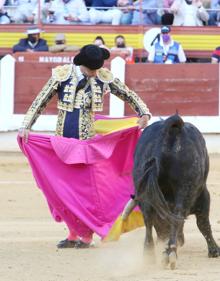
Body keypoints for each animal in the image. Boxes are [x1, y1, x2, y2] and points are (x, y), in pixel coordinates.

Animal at [131, 114, 220, 270]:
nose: (162, 237)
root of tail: (170, 128)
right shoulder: (204, 196)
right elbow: (203, 223)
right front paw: (214, 250)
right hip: (186, 187)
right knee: (178, 214)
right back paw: (171, 252)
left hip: (142, 185)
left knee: (148, 216)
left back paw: (149, 254)